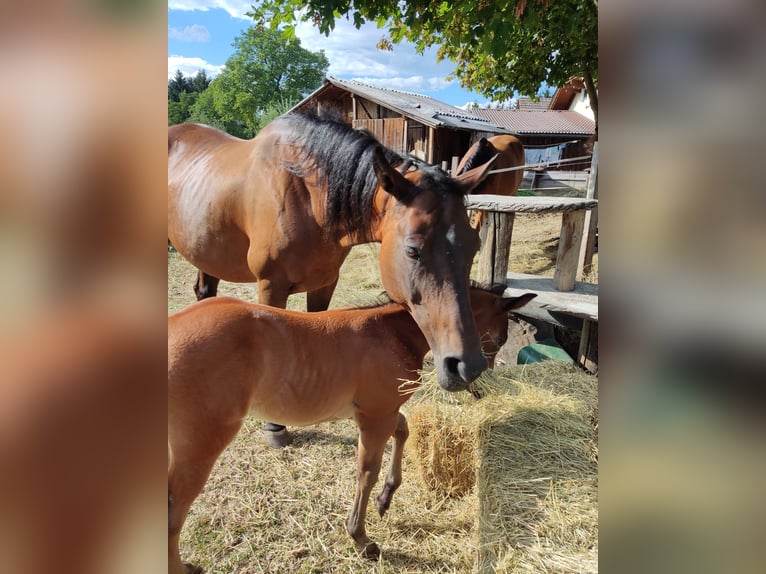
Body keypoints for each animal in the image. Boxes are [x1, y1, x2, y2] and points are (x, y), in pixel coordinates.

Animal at [167, 287, 536, 572]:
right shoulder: (375, 417)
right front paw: (361, 537)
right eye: (501, 337)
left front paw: (385, 499)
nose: (479, 386)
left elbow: (403, 431)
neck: (391, 335)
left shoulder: (381, 411)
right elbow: (366, 471)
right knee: (173, 508)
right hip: (202, 442)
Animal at [168, 111, 497, 444]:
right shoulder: (271, 285)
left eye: (475, 246)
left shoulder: (325, 283)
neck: (307, 196)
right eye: (412, 250)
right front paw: (275, 427)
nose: (468, 366)